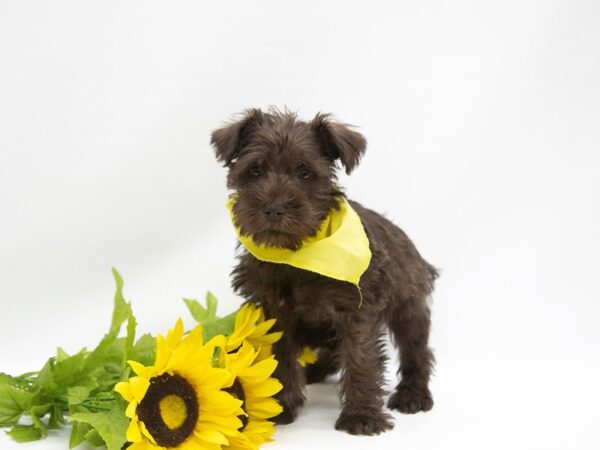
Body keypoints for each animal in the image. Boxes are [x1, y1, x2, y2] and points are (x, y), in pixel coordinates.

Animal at [211, 107, 436, 434]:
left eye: (305, 173)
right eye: (255, 171)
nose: (274, 208)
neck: (297, 255)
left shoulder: (357, 311)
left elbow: (360, 359)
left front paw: (361, 415)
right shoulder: (273, 312)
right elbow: (280, 359)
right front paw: (281, 407)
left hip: (409, 307)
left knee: (416, 351)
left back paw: (413, 394)